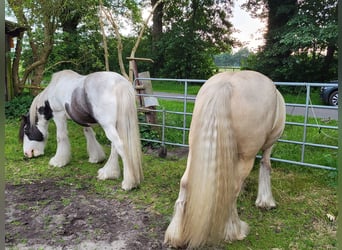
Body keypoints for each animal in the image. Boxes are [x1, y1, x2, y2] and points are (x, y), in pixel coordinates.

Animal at [165, 70, 286, 248]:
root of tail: (226, 83)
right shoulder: (269, 145)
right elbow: (266, 165)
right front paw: (266, 202)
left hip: (194, 149)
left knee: (185, 183)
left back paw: (175, 235)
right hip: (247, 156)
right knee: (233, 188)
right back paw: (235, 231)